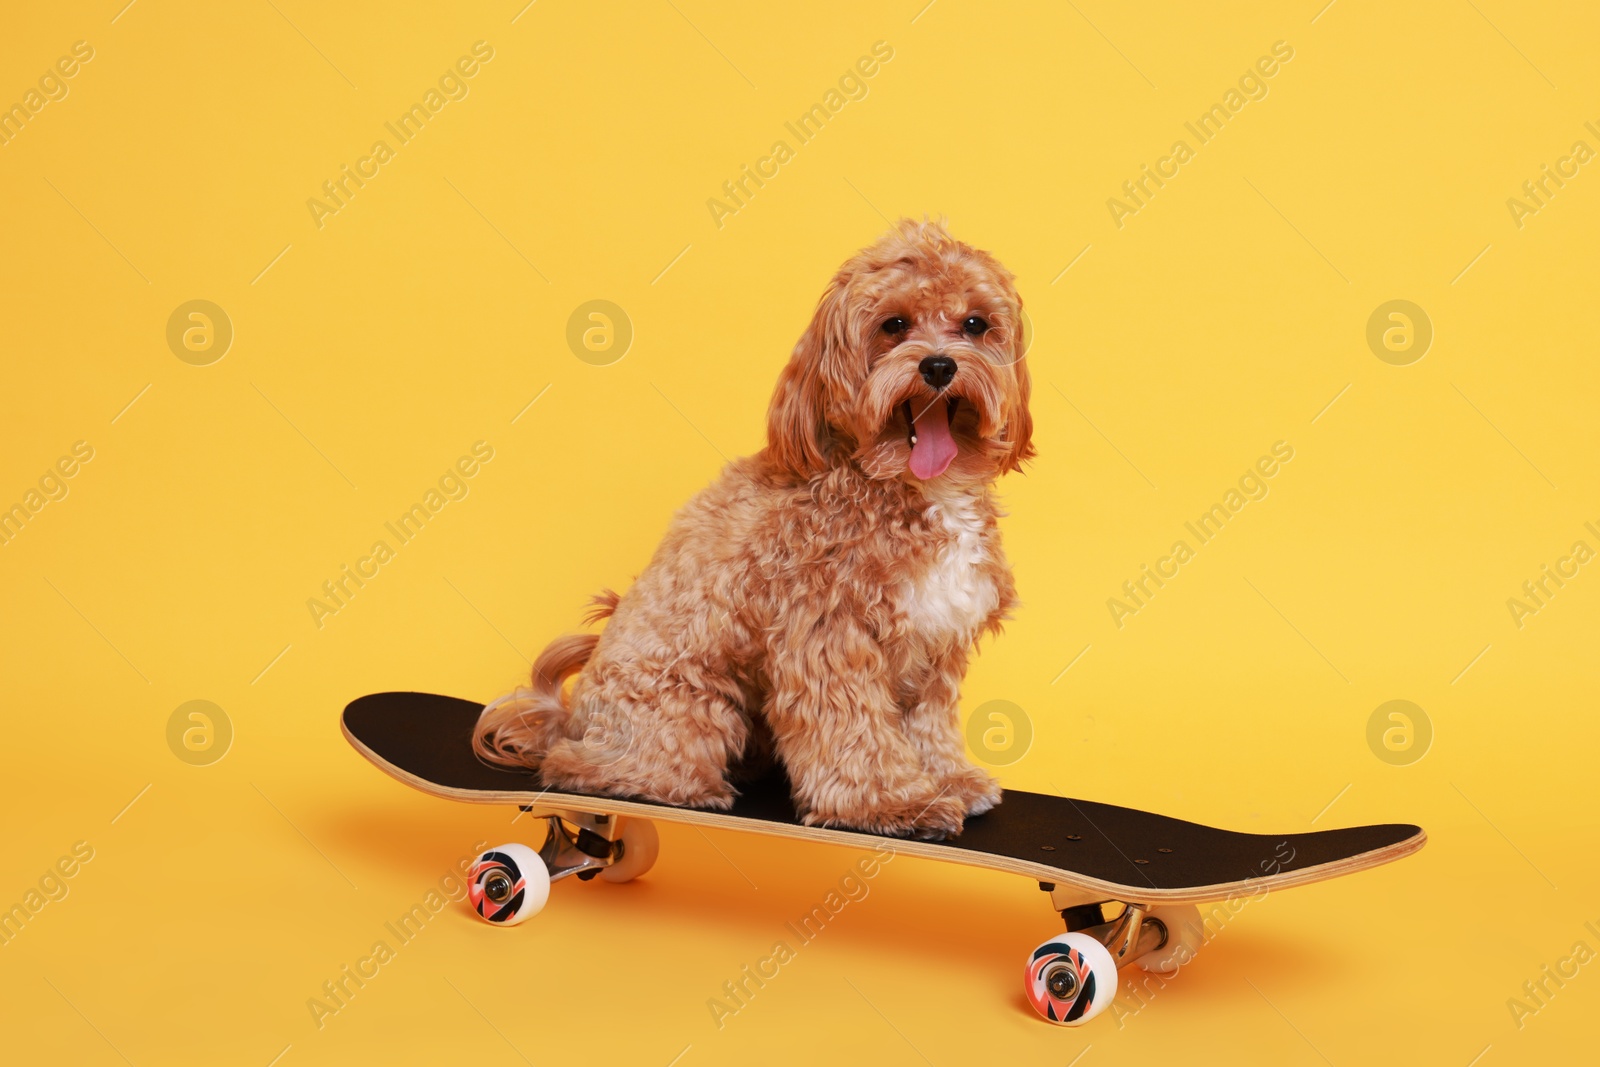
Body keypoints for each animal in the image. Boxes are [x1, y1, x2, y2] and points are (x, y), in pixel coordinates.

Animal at [467, 219, 1030, 831]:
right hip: (689, 704)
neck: (909, 488)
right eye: (894, 325)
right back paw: (676, 786)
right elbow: (854, 730)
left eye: (975, 324)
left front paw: (947, 780)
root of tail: (567, 719)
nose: (938, 366)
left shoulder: (936, 642)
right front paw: (890, 802)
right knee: (585, 768)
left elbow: (928, 723)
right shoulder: (826, 635)